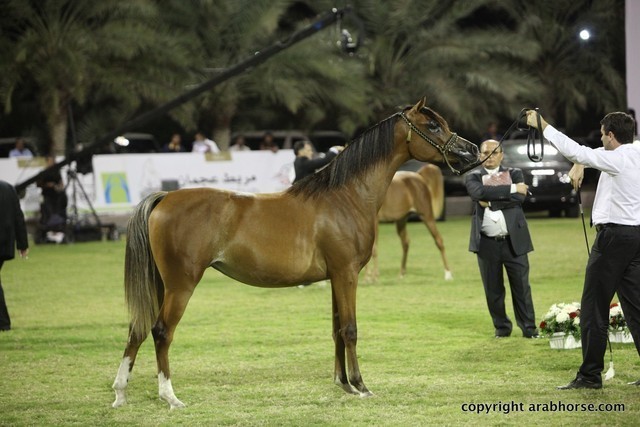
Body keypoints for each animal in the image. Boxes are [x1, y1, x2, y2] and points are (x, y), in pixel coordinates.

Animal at [111, 98, 479, 409]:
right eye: (433, 126)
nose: (472, 150)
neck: (345, 197)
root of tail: (165, 198)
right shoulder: (347, 274)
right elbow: (350, 329)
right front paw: (361, 386)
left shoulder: (335, 278)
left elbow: (336, 328)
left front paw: (343, 383)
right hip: (181, 285)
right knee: (161, 332)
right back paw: (169, 397)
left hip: (161, 284)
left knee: (138, 328)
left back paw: (120, 393)